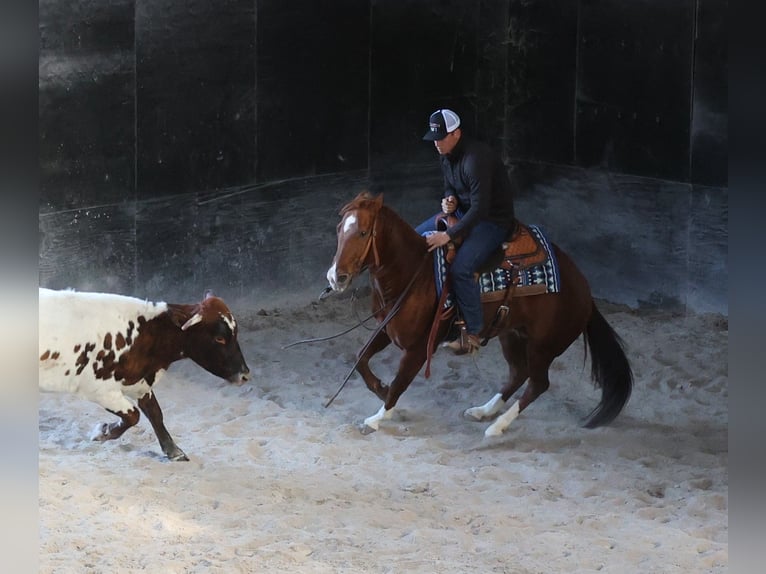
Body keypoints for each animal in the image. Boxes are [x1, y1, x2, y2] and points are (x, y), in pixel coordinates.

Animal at [39, 288, 252, 464]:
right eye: (220, 338)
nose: (245, 375)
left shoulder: (140, 383)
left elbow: (155, 413)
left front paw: (173, 451)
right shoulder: (98, 389)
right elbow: (133, 414)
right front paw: (103, 431)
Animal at [328, 191, 632, 438]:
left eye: (363, 233)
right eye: (339, 229)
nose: (335, 277)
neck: (413, 273)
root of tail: (584, 290)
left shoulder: (418, 348)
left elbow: (400, 383)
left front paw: (377, 418)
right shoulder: (387, 329)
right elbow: (361, 359)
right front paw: (380, 389)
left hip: (543, 346)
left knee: (538, 384)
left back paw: (497, 427)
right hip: (512, 334)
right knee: (518, 373)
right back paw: (483, 411)